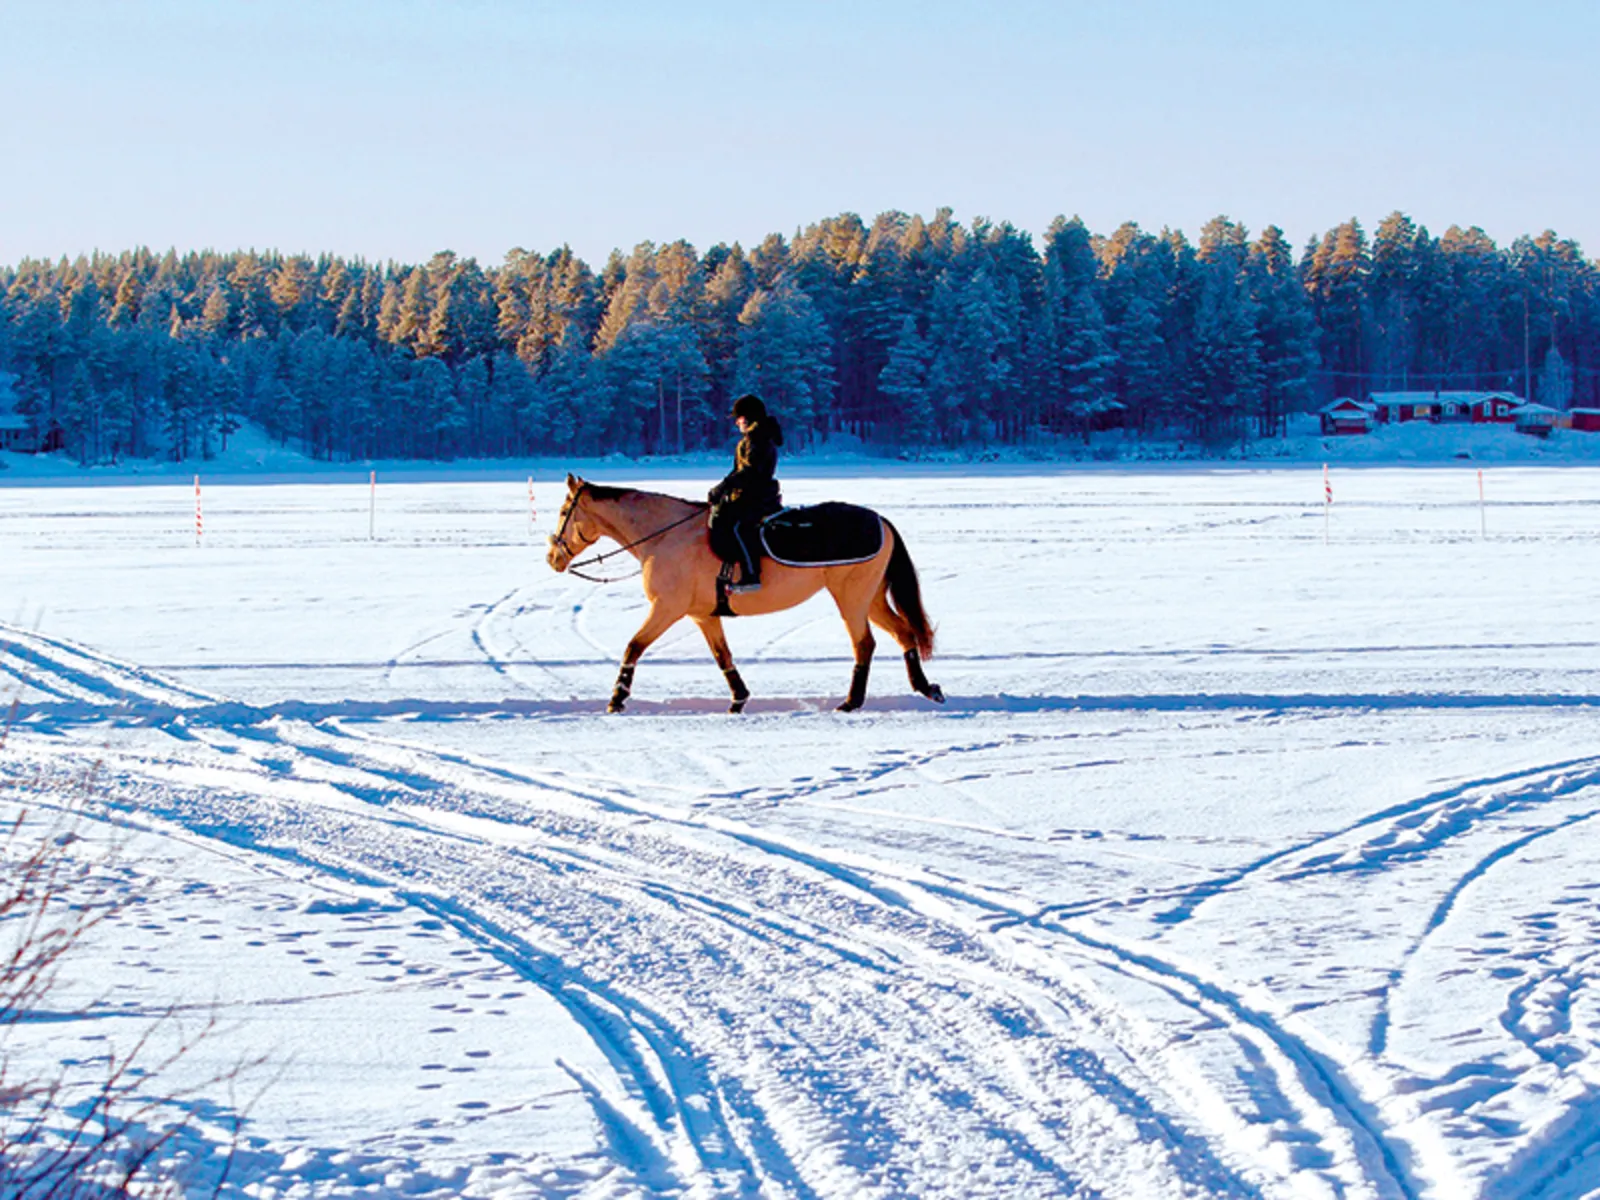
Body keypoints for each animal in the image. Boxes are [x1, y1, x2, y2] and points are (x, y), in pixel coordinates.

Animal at [545, 474, 945, 714]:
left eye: (565, 511)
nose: (552, 558)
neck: (664, 536)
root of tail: (881, 520)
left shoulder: (667, 608)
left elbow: (634, 647)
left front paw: (617, 698)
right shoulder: (702, 615)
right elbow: (723, 656)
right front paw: (739, 698)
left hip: (851, 597)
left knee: (865, 644)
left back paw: (852, 701)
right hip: (871, 597)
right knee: (904, 634)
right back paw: (926, 688)